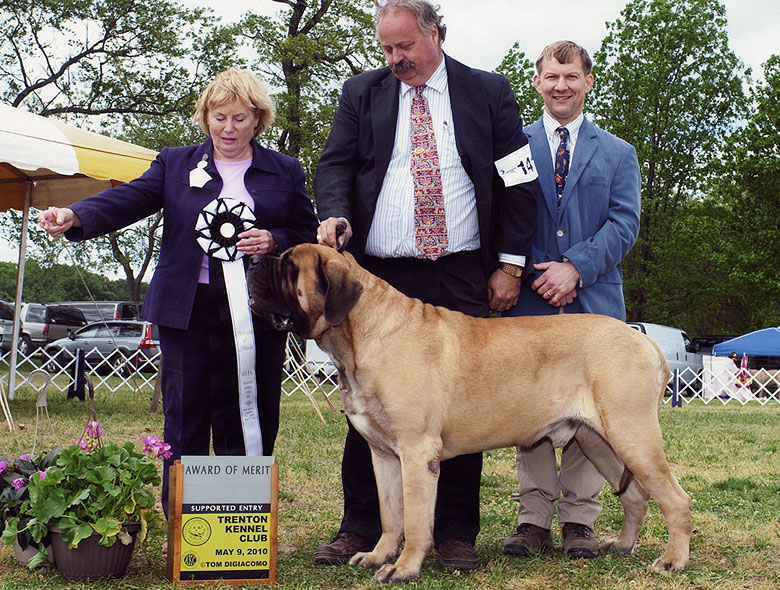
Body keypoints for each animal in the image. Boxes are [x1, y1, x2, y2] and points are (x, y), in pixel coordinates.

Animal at [247, 245, 692, 588]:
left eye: (288, 267)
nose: (251, 260)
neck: (361, 336)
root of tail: (644, 340)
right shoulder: (384, 455)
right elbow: (391, 515)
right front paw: (377, 556)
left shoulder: (416, 454)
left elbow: (416, 519)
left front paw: (403, 569)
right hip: (598, 441)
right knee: (636, 496)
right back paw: (621, 546)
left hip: (632, 435)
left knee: (676, 499)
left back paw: (673, 560)